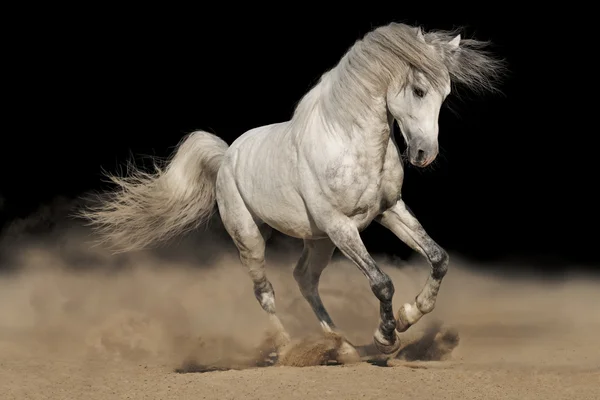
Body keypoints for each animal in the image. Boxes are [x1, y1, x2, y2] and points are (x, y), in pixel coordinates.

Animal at [81, 21, 506, 358]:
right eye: (418, 90)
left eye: (446, 93)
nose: (423, 154)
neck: (350, 143)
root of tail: (227, 155)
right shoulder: (340, 225)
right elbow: (382, 282)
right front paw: (386, 336)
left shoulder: (388, 212)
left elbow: (438, 258)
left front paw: (409, 315)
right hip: (253, 238)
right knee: (265, 291)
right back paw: (287, 349)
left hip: (318, 242)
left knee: (304, 279)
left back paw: (342, 347)